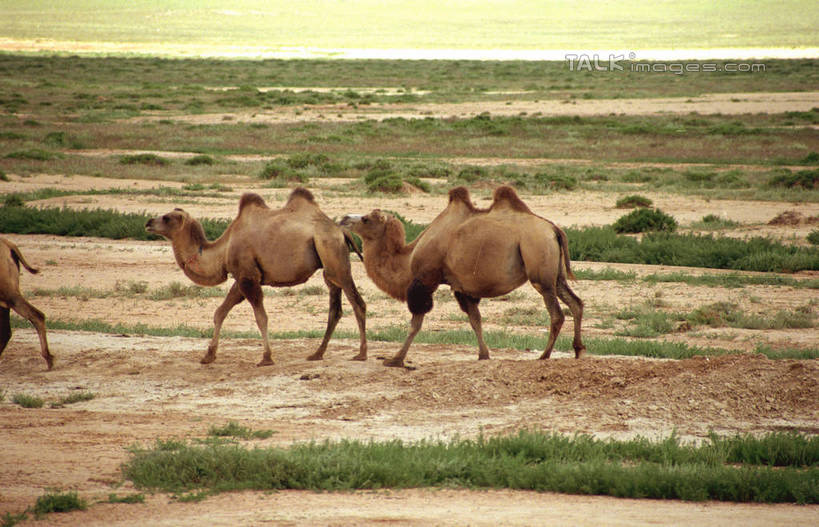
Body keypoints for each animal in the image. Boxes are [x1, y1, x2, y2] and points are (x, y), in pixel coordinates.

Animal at [146, 190, 366, 368]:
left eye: (166, 218)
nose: (148, 223)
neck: (223, 249)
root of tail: (340, 230)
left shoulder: (248, 277)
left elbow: (261, 317)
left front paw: (266, 358)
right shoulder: (241, 277)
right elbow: (220, 312)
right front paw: (208, 356)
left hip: (334, 257)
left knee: (358, 302)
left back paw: (361, 354)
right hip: (328, 265)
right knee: (335, 309)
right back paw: (317, 354)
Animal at [342, 186, 588, 368]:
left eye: (366, 219)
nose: (344, 218)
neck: (408, 258)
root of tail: (554, 230)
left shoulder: (425, 280)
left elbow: (415, 324)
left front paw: (395, 359)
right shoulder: (461, 287)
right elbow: (475, 320)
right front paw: (483, 354)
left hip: (540, 268)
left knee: (557, 314)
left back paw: (544, 356)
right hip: (556, 275)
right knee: (576, 303)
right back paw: (578, 350)